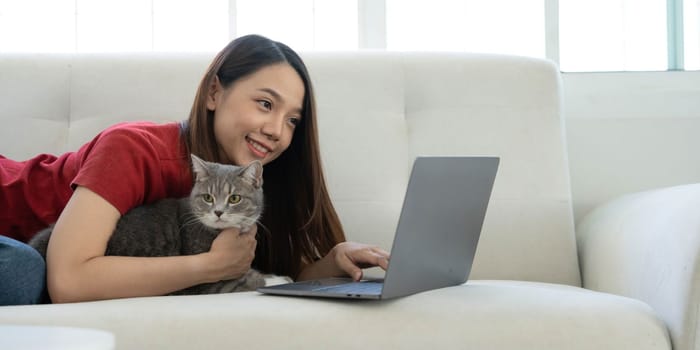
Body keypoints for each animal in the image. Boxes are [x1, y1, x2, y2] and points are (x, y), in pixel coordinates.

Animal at [28, 154, 288, 294]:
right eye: (208, 197)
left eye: (234, 198)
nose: (218, 212)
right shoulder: (208, 282)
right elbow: (247, 280)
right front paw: (277, 279)